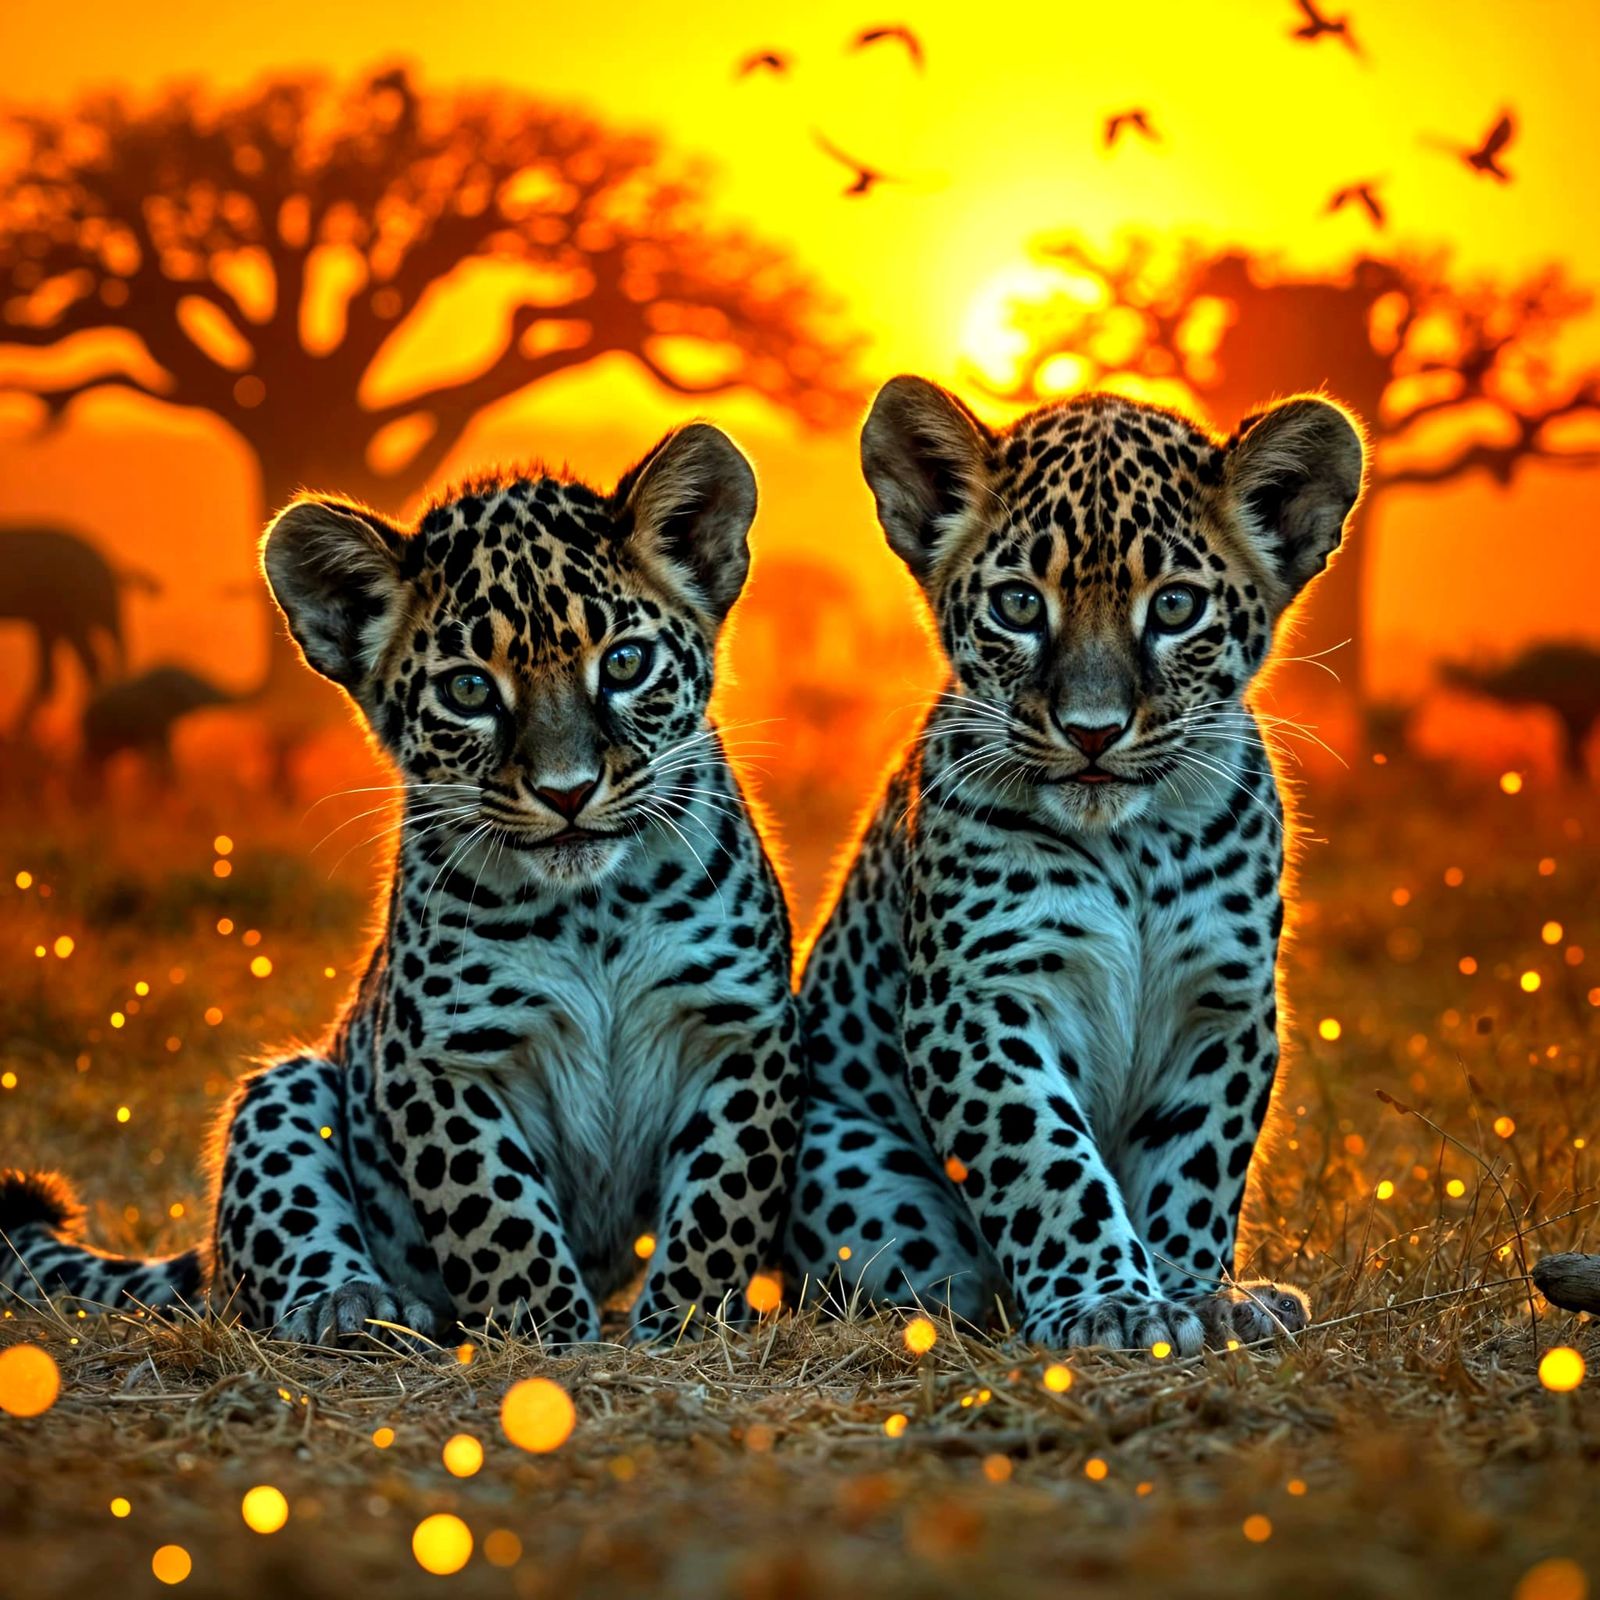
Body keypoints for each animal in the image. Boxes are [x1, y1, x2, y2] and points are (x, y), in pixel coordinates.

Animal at [2, 422, 804, 1347]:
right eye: (468, 689)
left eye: (628, 663)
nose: (567, 791)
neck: (594, 910)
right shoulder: (440, 1060)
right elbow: (499, 1219)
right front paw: (549, 1336)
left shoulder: (742, 1028)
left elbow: (720, 1210)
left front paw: (683, 1328)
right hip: (285, 1089)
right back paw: (356, 1306)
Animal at [783, 375, 1365, 1354]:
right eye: (1020, 605)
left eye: (1175, 608)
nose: (1093, 731)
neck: (1134, 848)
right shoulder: (980, 999)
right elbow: (1048, 1163)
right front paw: (1110, 1303)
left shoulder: (1222, 1004)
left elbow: (1195, 1165)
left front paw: (1197, 1295)